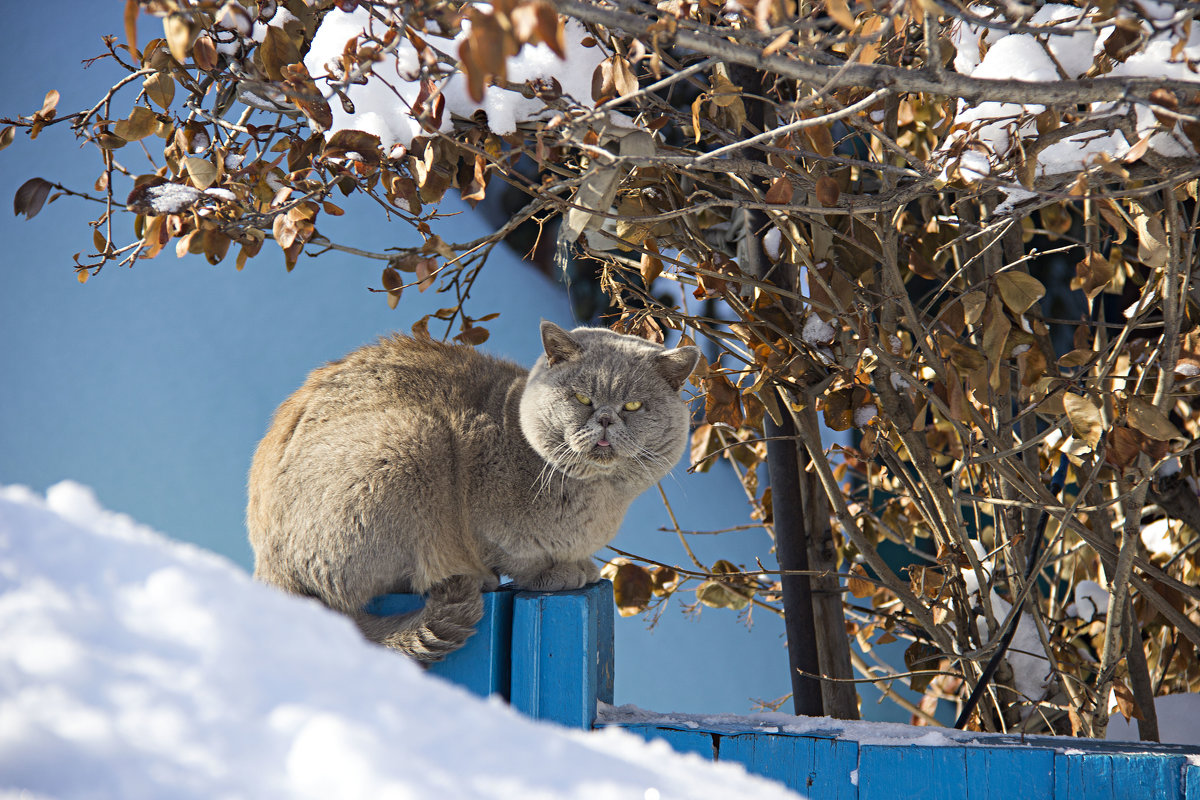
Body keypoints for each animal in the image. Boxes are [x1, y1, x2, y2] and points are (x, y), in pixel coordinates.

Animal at [248, 321, 700, 662]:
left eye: (634, 406)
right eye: (582, 398)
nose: (606, 419)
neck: (598, 495)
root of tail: (269, 567)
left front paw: (581, 565)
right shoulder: (486, 507)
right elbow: (522, 558)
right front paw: (558, 573)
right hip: (411, 438)